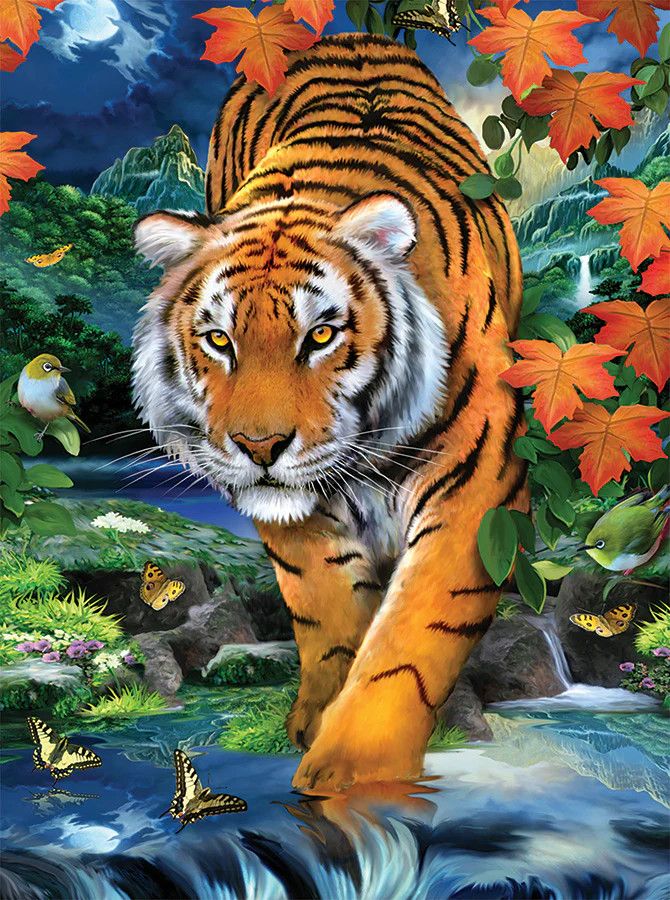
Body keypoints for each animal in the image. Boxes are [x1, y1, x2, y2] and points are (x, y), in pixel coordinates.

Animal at [132, 33, 527, 793]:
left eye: (320, 336)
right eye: (218, 340)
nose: (258, 447)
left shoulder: (477, 476)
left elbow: (412, 637)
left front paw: (350, 771)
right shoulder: (297, 516)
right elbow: (329, 608)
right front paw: (318, 720)